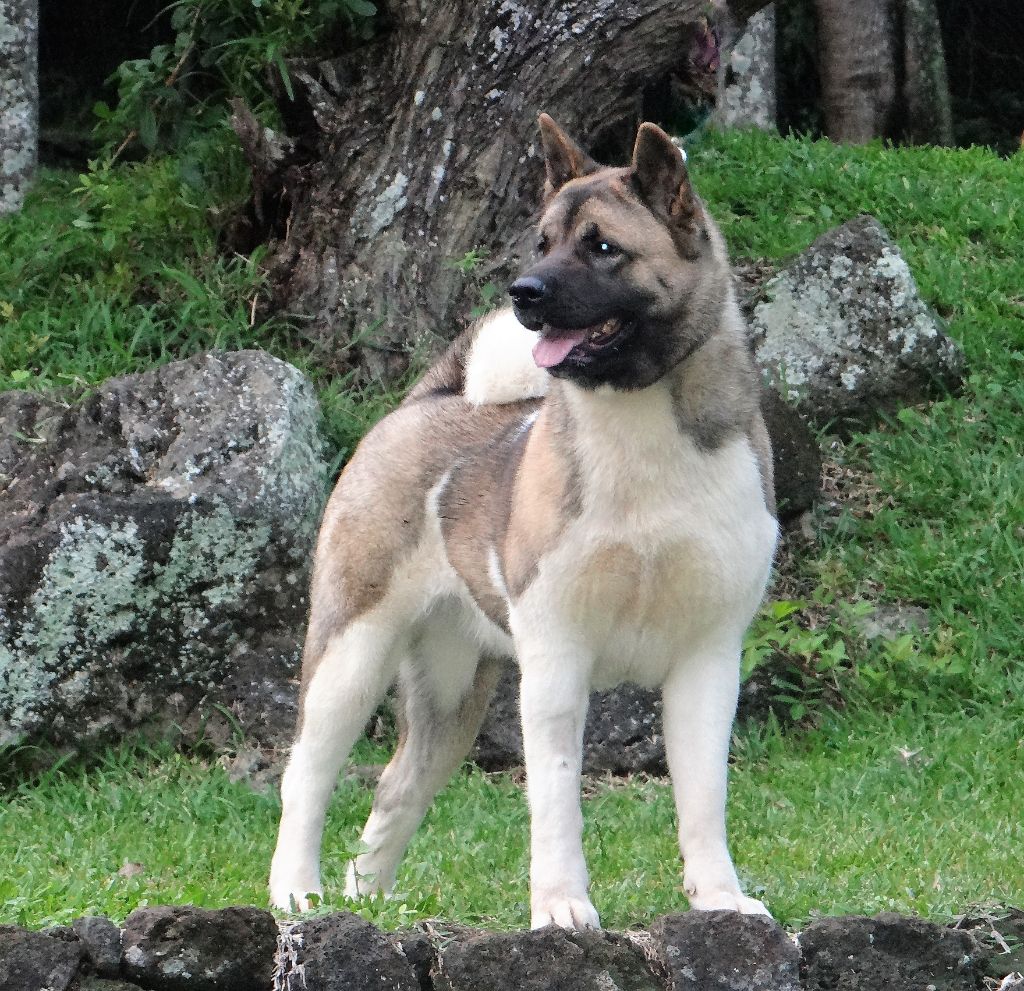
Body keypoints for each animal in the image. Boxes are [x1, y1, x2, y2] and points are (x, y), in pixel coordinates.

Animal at [268, 116, 778, 929]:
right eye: (542, 242)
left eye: (602, 246)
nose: (523, 293)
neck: (634, 420)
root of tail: (428, 403)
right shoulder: (557, 658)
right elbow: (556, 802)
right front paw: (562, 908)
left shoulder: (708, 658)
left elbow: (703, 796)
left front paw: (721, 899)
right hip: (351, 651)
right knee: (307, 775)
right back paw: (295, 892)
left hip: (452, 694)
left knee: (396, 785)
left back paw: (371, 901)